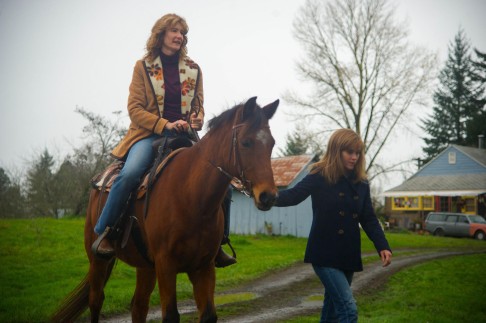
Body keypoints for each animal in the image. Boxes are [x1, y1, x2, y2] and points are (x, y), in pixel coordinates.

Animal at [51, 97, 280, 322]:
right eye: (246, 142)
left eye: (272, 144)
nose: (268, 196)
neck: (190, 197)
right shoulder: (166, 265)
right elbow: (170, 315)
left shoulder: (203, 266)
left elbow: (208, 315)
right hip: (98, 259)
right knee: (96, 300)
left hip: (145, 266)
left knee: (138, 307)